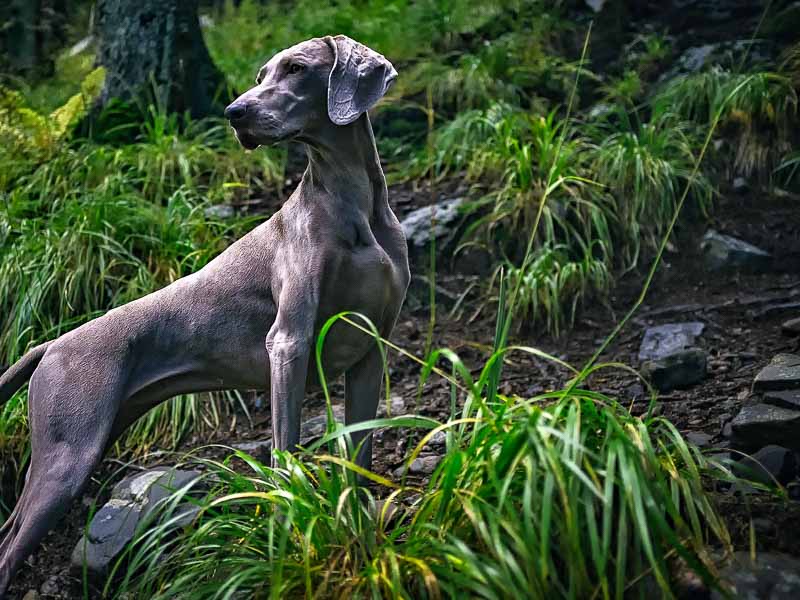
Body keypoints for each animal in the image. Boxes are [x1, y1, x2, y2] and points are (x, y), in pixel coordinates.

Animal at [0, 37, 410, 596]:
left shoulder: (371, 350)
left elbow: (360, 459)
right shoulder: (289, 342)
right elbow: (285, 451)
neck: (355, 204)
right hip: (66, 457)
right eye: (261, 75)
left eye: (296, 69)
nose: (234, 112)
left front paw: (360, 532)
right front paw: (289, 527)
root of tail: (50, 344)